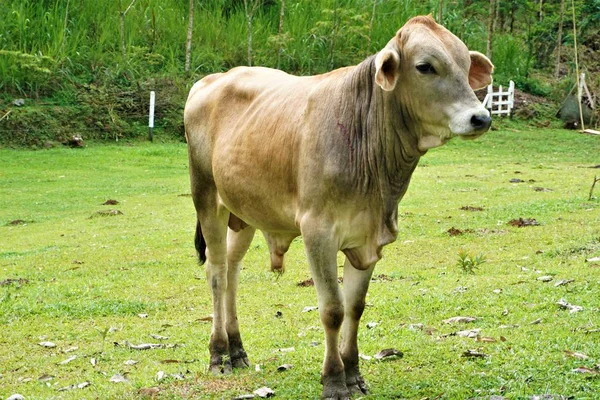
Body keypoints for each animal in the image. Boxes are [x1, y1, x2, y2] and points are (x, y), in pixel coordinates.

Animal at [185, 15, 494, 400]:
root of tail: (209, 80)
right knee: (215, 272)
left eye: (466, 66)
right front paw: (333, 380)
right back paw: (218, 354)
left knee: (231, 271)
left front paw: (353, 374)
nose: (481, 118)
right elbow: (332, 309)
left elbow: (354, 308)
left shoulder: (367, 239)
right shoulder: (317, 233)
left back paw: (237, 349)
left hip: (244, 214)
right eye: (425, 66)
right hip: (207, 199)